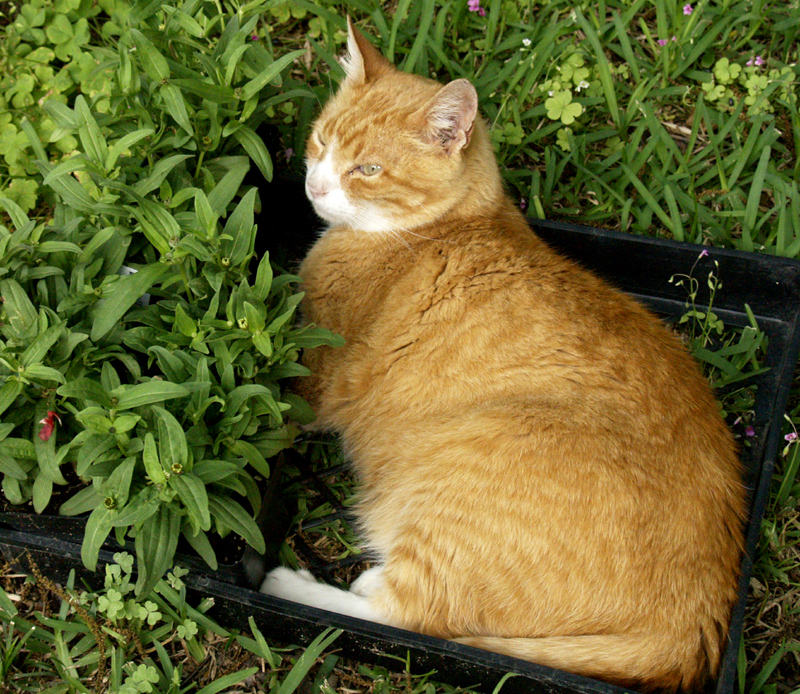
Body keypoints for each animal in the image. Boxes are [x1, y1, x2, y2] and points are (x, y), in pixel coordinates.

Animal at [260, 19, 744, 692]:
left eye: (369, 168)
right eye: (322, 140)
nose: (314, 184)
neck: (447, 226)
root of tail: (692, 628)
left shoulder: (315, 375)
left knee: (406, 615)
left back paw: (292, 584)